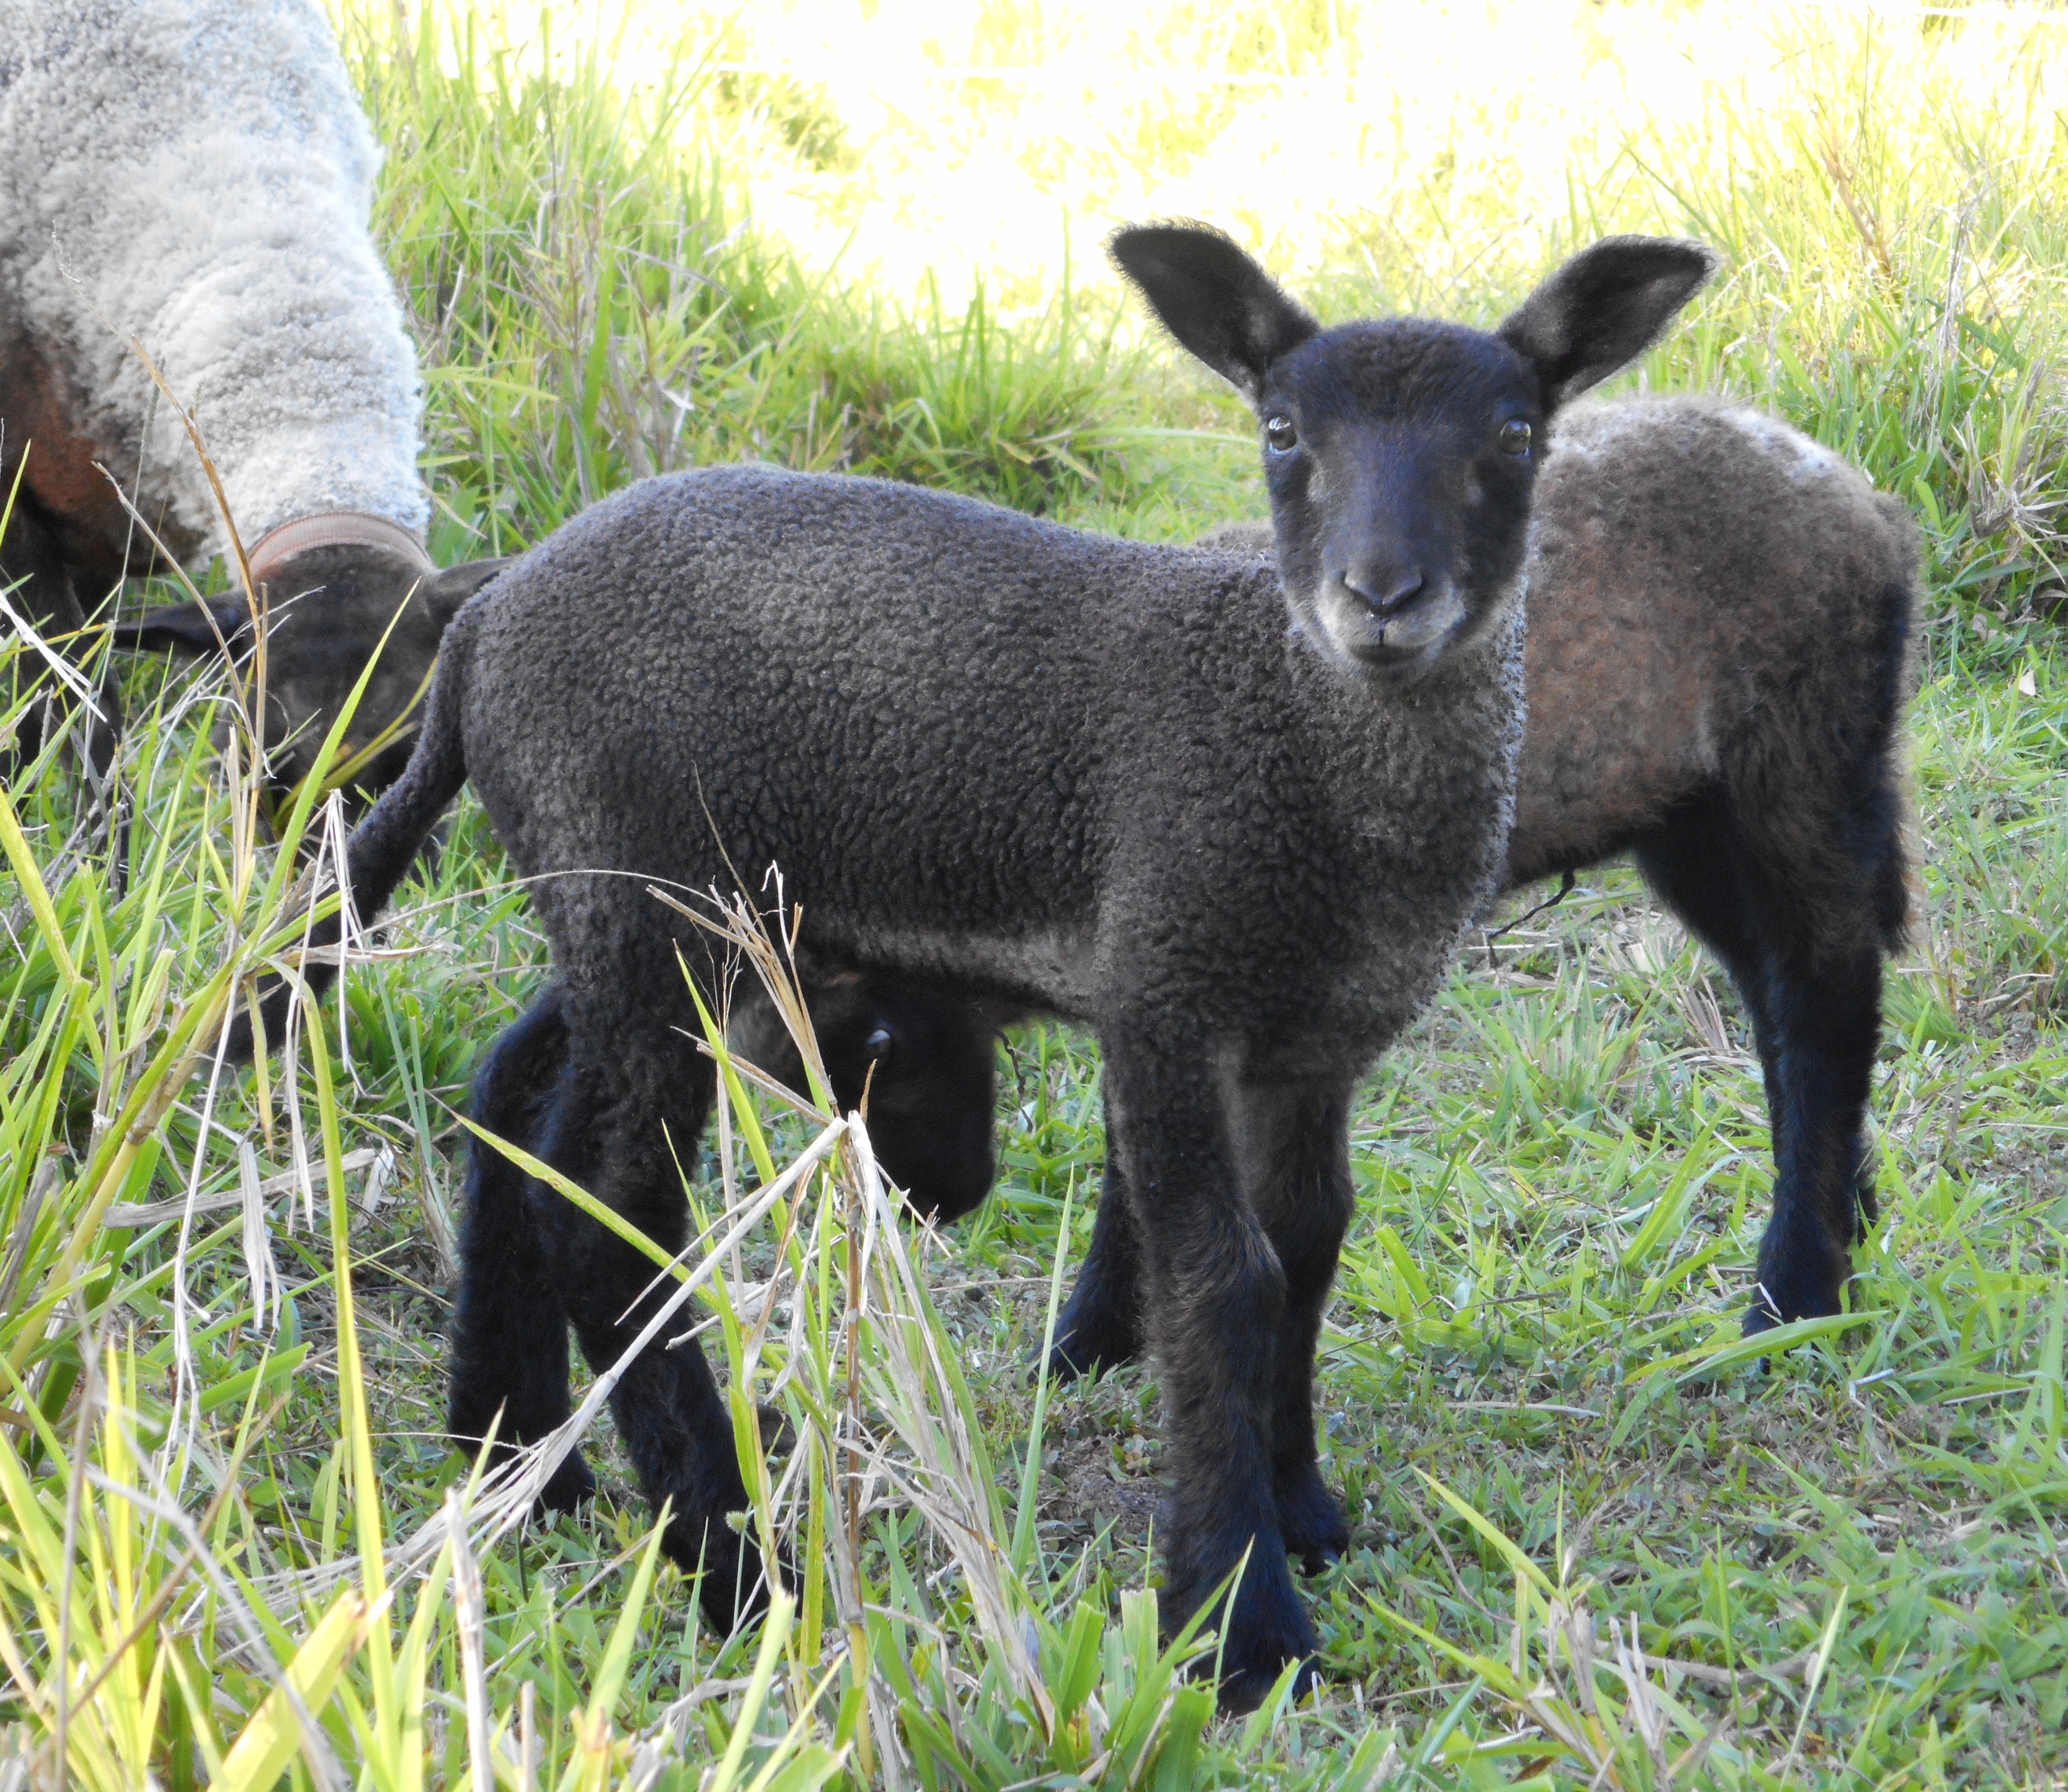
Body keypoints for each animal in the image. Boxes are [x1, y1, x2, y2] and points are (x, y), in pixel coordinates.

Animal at [271, 226, 1712, 1705]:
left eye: (1515, 434)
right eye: (1279, 433)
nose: (1380, 599)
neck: (1304, 739)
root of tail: (485, 625)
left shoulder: (1313, 1045)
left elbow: (1310, 1247)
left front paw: (1303, 1509)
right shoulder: (1165, 992)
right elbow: (1219, 1279)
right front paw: (1239, 1618)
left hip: (630, 912)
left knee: (515, 1097)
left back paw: (515, 1460)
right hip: (648, 897)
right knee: (606, 1207)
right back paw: (733, 1564)